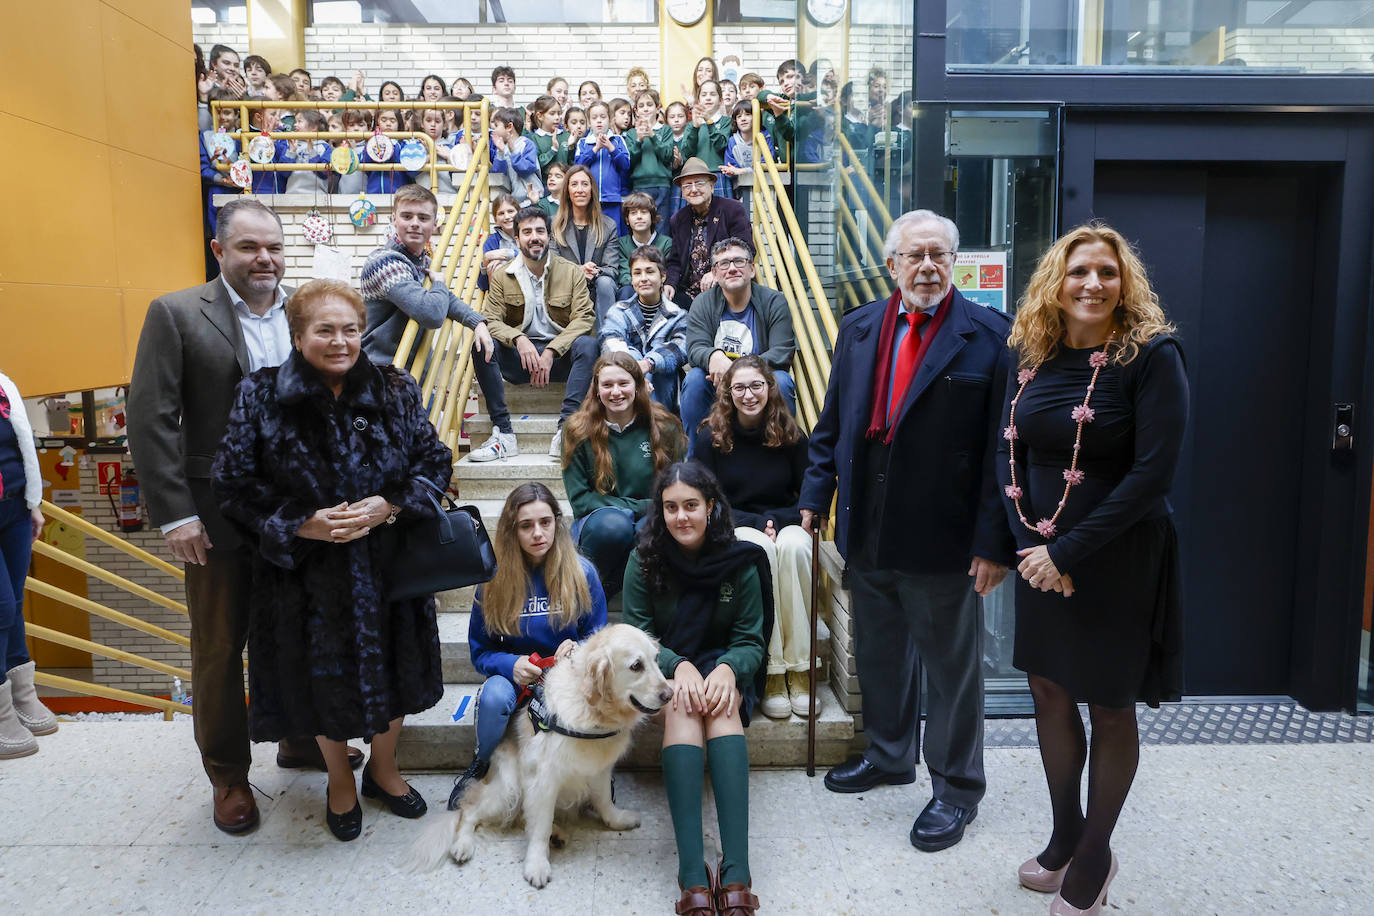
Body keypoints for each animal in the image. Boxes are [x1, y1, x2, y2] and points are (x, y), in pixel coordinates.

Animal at [401, 623, 670, 889]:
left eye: (656, 659)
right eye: (636, 666)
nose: (669, 694)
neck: (592, 711)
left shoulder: (599, 768)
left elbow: (604, 801)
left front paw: (617, 819)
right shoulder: (544, 778)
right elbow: (539, 826)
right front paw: (537, 865)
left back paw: (557, 834)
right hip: (507, 787)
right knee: (469, 811)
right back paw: (463, 845)